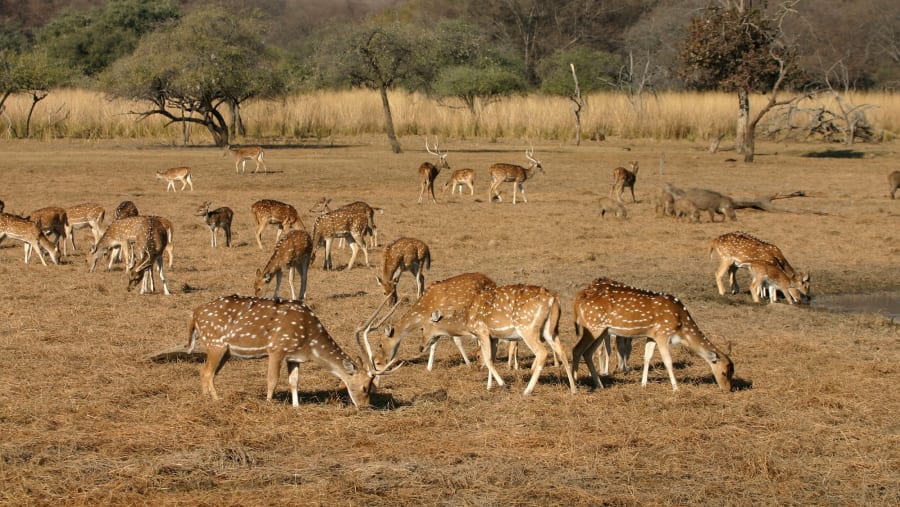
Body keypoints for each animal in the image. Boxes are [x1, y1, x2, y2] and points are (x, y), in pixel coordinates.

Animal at [186, 294, 401, 408]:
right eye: (365, 387)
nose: (365, 406)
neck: (310, 343)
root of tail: (195, 314)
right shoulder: (277, 348)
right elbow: (272, 379)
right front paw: (269, 403)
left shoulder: (295, 357)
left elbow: (294, 381)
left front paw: (296, 406)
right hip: (216, 343)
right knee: (207, 372)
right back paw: (216, 399)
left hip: (226, 351)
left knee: (204, 372)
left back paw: (205, 398)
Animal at [571, 277, 734, 392]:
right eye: (725, 372)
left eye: (732, 372)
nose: (728, 389)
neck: (681, 327)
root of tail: (578, 298)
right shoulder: (663, 333)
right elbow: (668, 361)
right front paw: (676, 388)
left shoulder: (651, 335)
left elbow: (647, 357)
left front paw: (643, 384)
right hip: (593, 326)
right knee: (577, 350)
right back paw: (575, 383)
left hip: (602, 330)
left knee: (588, 353)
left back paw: (599, 385)